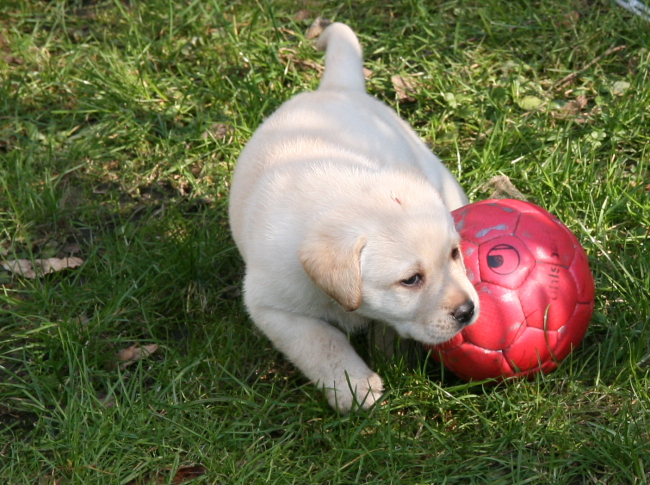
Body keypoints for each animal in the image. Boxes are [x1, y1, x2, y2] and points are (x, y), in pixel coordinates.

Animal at [228, 21, 476, 408]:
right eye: (411, 280)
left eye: (455, 254)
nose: (468, 311)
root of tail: (336, 87)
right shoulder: (273, 307)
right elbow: (320, 343)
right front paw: (353, 386)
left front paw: (386, 360)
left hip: (442, 179)